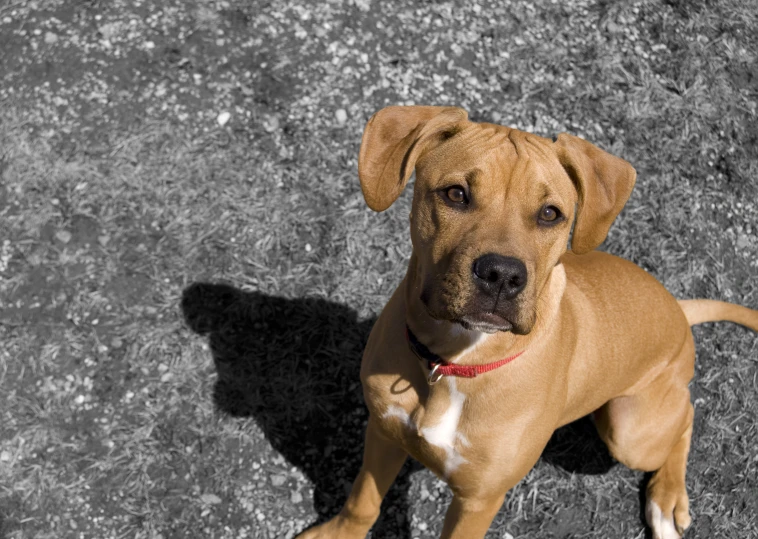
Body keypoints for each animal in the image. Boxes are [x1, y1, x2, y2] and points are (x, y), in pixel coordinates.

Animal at [296, 106, 758, 539]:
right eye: (455, 194)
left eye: (551, 214)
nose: (501, 274)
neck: (454, 362)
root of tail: (677, 307)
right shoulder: (383, 433)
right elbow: (363, 502)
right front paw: (338, 534)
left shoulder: (479, 499)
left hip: (630, 432)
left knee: (686, 417)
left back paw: (667, 499)